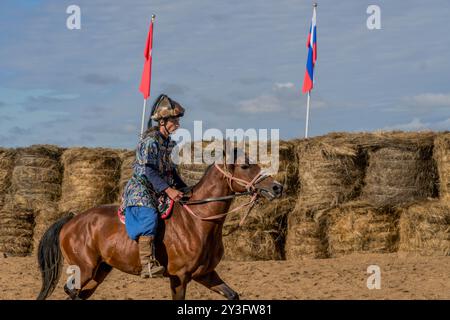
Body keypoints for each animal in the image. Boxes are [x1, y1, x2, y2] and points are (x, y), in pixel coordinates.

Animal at [36, 150, 282, 300]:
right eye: (245, 165)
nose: (277, 187)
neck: (198, 221)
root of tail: (71, 219)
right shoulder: (179, 277)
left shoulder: (206, 274)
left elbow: (232, 295)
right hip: (84, 269)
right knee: (71, 291)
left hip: (100, 271)